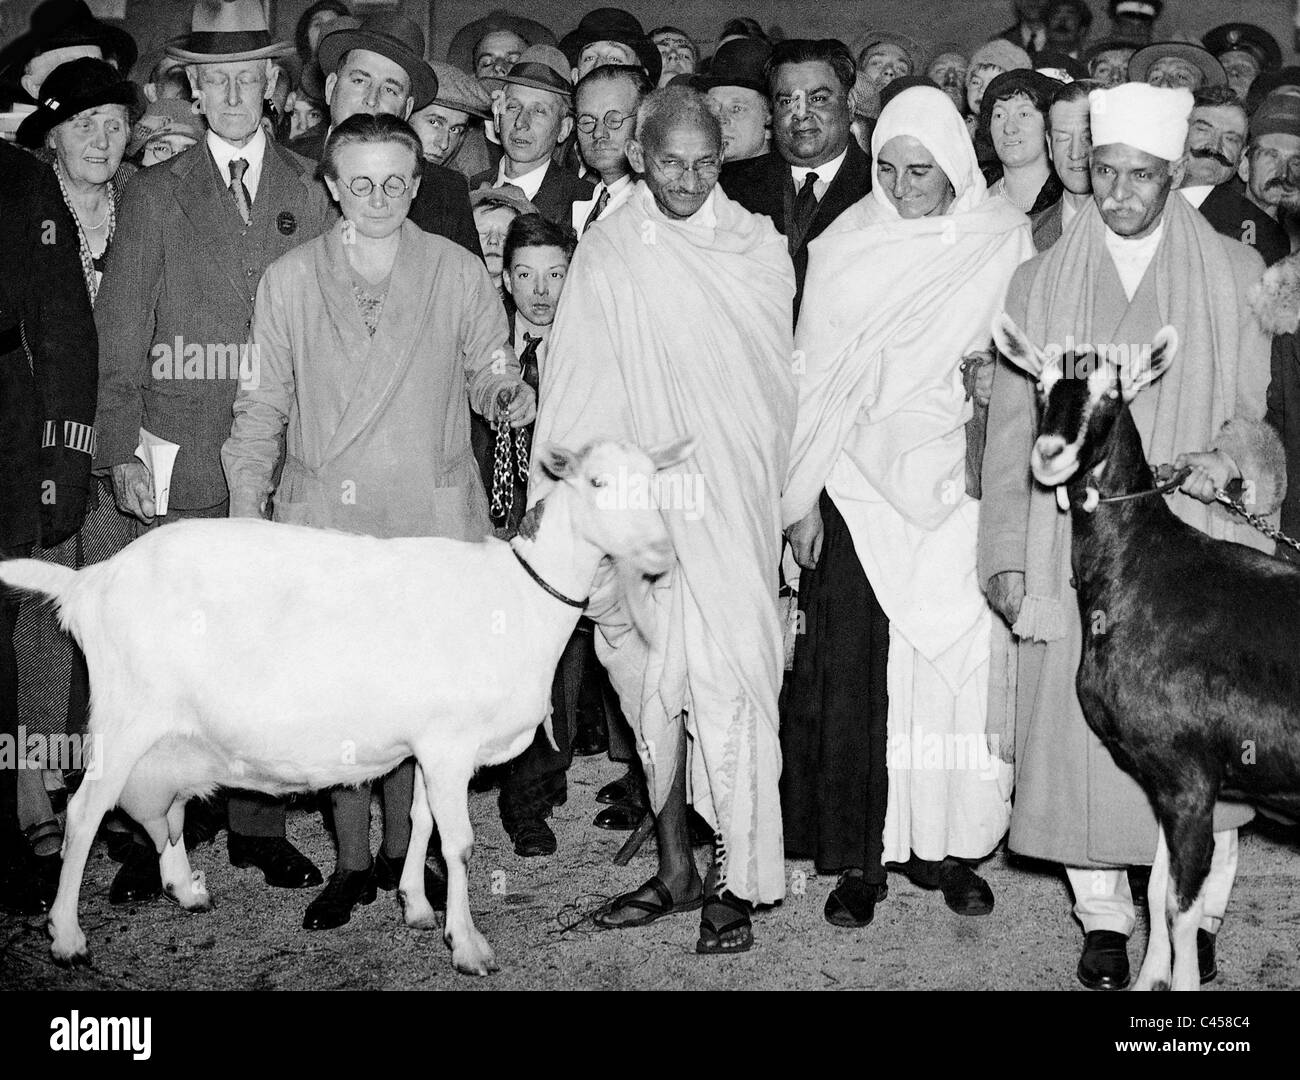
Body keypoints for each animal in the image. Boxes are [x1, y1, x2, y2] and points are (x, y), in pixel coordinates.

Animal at [0, 434, 691, 977]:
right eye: (597, 481)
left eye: (654, 481)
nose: (662, 552)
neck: (518, 596)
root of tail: (91, 582)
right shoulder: (450, 742)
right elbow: (460, 843)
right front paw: (468, 945)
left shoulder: (430, 744)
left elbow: (418, 818)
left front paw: (416, 905)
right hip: (124, 718)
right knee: (86, 811)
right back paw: (67, 936)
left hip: (164, 739)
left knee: (158, 811)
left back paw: (186, 889)